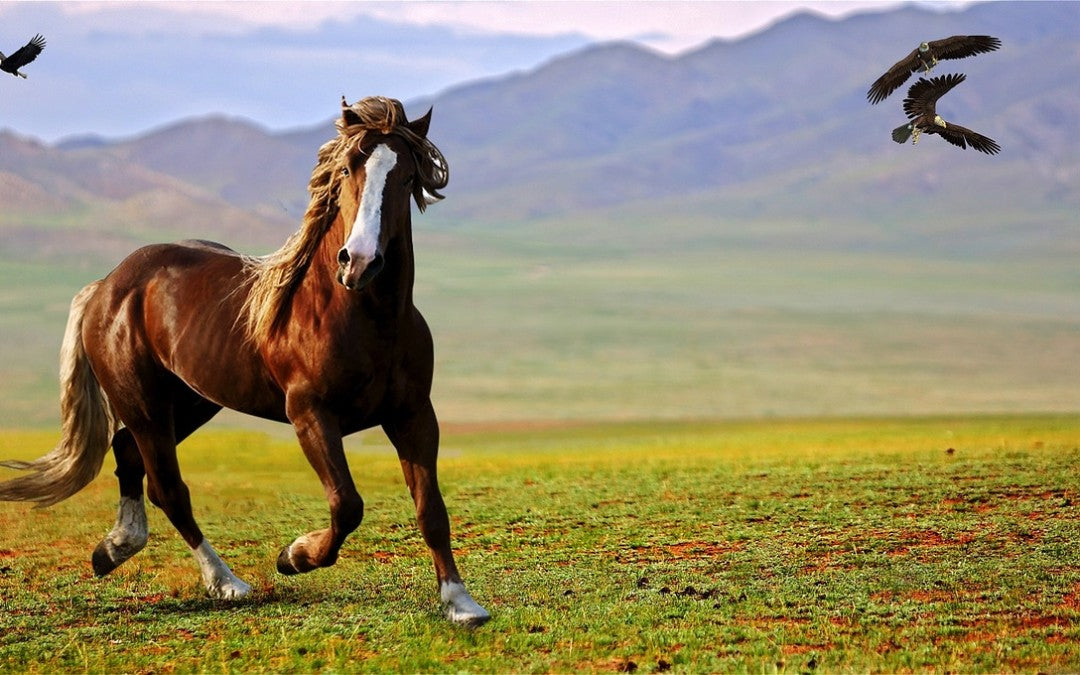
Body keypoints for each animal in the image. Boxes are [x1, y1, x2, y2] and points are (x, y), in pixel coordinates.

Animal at [0, 96, 490, 626]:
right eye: (346, 169)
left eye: (405, 176)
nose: (358, 262)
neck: (362, 317)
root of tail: (108, 285)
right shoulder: (311, 416)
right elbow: (347, 505)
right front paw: (294, 556)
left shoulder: (414, 414)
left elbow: (430, 509)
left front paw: (461, 602)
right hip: (145, 404)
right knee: (169, 488)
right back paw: (226, 582)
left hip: (191, 402)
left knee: (129, 453)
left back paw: (114, 549)